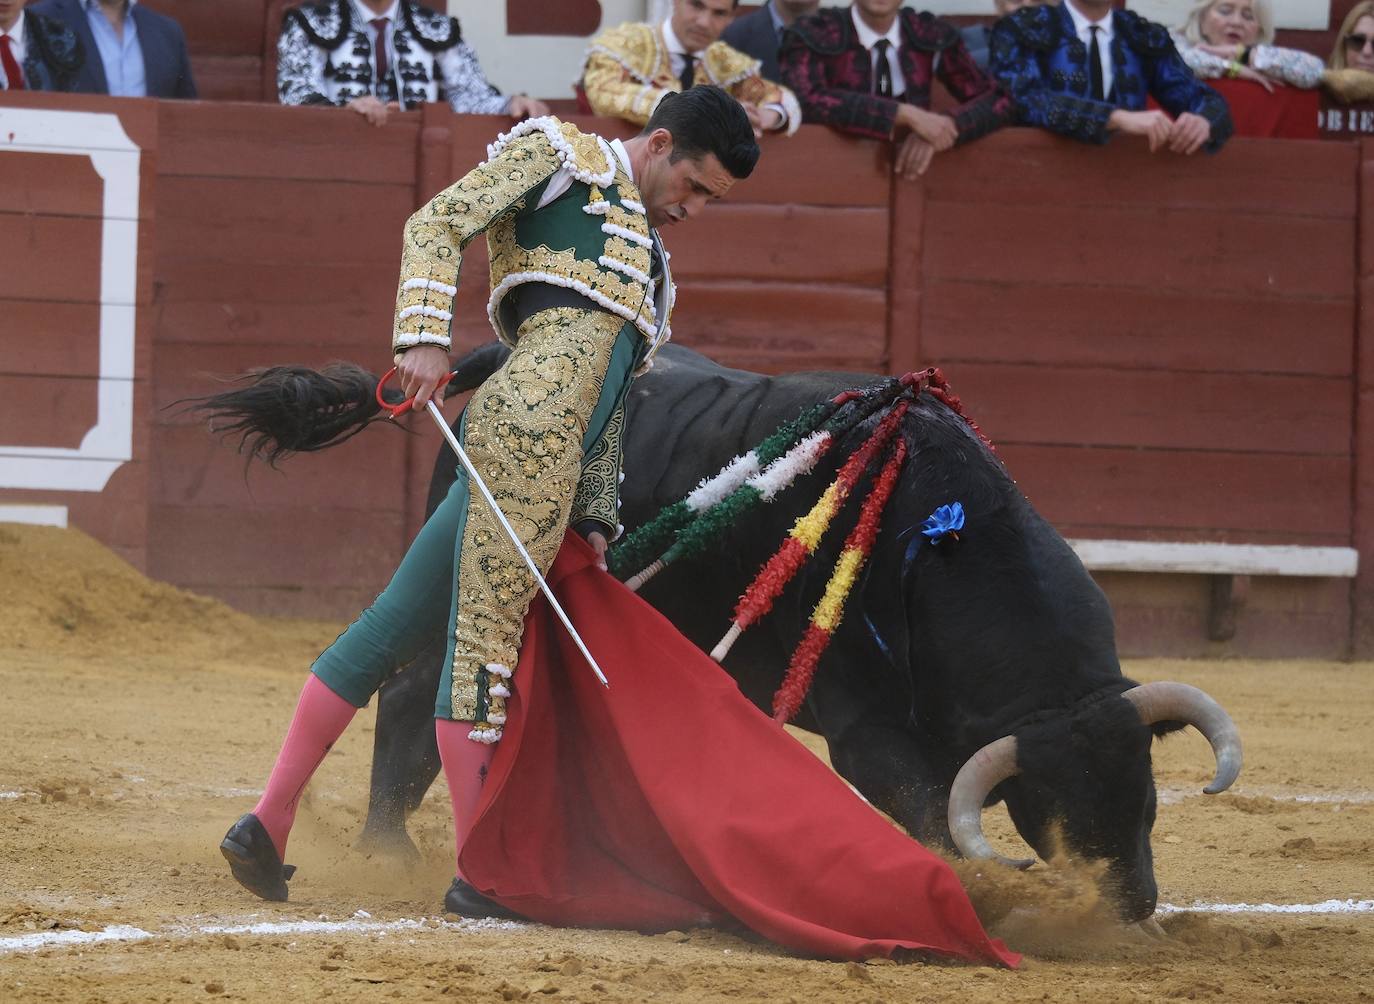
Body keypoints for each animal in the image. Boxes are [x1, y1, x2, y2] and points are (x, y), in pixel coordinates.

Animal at [196, 341, 1247, 922]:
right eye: (1055, 812)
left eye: (1149, 795)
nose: (1133, 904)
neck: (939, 536)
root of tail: (497, 360)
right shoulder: (865, 731)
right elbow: (921, 808)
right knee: (418, 689)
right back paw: (386, 849)